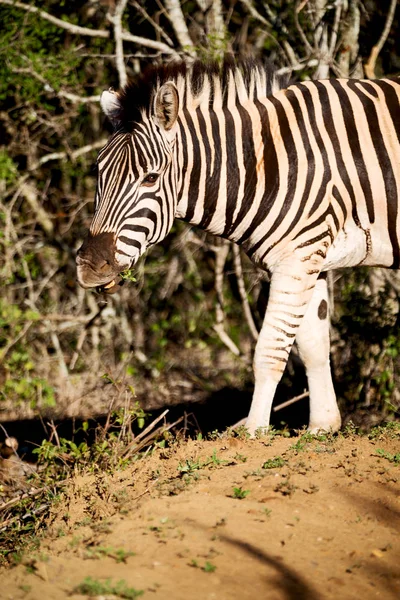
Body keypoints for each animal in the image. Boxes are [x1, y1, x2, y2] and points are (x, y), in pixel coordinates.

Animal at [76, 58, 400, 436]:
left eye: (151, 178)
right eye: (98, 173)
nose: (89, 267)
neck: (270, 163)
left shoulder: (297, 257)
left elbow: (269, 353)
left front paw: (253, 432)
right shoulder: (311, 259)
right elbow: (314, 347)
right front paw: (322, 427)